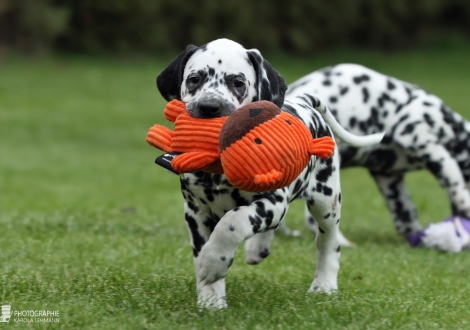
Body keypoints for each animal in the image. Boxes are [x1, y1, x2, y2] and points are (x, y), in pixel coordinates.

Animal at [156, 39, 384, 310]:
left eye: (238, 82)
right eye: (194, 79)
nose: (209, 107)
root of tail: (304, 102)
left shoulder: (272, 201)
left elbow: (233, 222)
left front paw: (213, 261)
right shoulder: (195, 211)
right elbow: (204, 247)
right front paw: (211, 299)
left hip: (326, 201)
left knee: (328, 244)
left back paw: (324, 286)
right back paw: (258, 248)